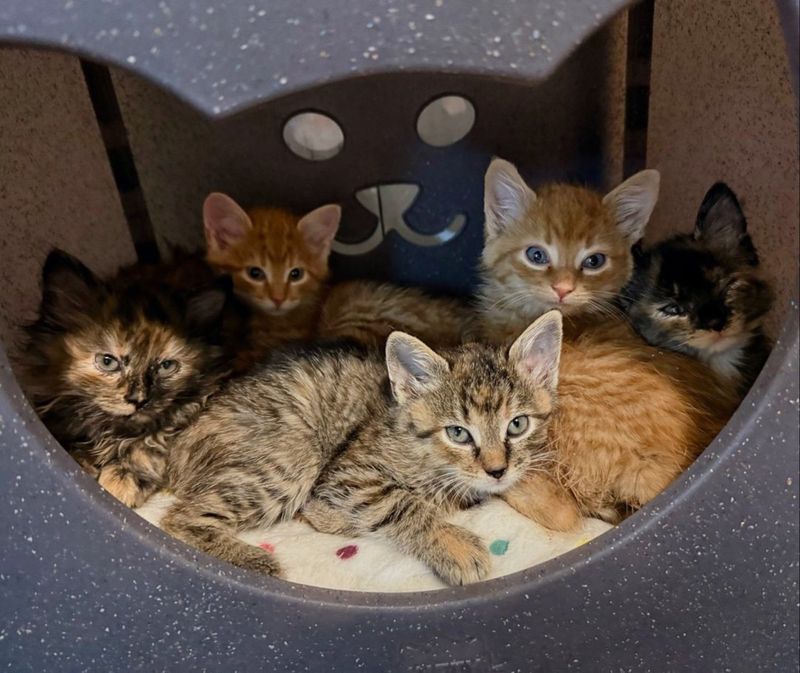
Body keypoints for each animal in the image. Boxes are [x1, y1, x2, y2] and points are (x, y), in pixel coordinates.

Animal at [18, 249, 234, 506]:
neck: (113, 430)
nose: (139, 400)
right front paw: (80, 461)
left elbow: (150, 446)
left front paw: (120, 482)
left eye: (166, 366)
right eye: (108, 362)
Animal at [161, 316, 564, 584]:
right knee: (179, 517)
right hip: (294, 456)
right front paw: (453, 545)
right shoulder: (349, 472)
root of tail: (181, 440)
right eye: (458, 433)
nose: (497, 470)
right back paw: (254, 561)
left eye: (517, 424)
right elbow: (401, 502)